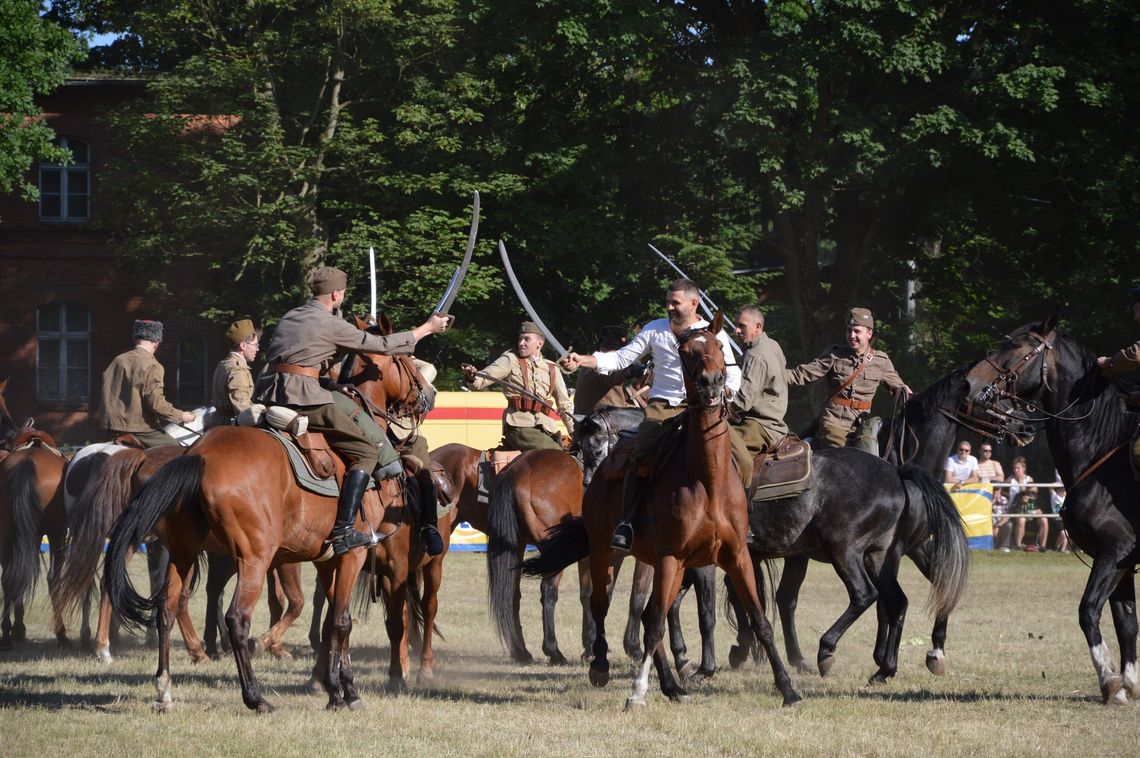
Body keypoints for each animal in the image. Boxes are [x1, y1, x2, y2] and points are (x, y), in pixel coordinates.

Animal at [104, 321, 440, 711]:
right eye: (406, 359)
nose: (429, 394)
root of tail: (199, 454)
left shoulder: (328, 561)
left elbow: (330, 624)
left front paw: (336, 688)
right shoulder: (353, 555)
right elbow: (341, 622)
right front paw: (347, 693)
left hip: (184, 553)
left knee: (168, 609)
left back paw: (165, 689)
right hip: (254, 558)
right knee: (237, 618)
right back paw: (255, 696)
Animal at [522, 314, 798, 711]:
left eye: (719, 347)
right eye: (686, 352)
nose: (712, 383)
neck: (707, 480)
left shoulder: (734, 557)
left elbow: (758, 619)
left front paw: (788, 688)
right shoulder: (673, 558)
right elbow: (658, 622)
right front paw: (638, 691)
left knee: (650, 612)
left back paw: (670, 684)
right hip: (607, 551)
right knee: (604, 603)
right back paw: (601, 665)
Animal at [962, 312, 1140, 702]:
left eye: (1015, 346)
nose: (968, 383)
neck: (1104, 456)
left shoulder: (1114, 551)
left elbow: (1088, 611)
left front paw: (1109, 680)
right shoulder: (1121, 562)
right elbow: (1126, 622)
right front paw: (1128, 685)